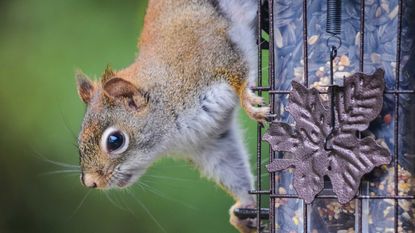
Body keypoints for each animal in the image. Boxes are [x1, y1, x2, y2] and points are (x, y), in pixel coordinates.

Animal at [75, 0, 270, 232]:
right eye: (79, 141)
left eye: (115, 140)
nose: (90, 182)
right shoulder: (207, 140)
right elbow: (229, 167)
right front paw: (245, 208)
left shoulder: (214, 55)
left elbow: (238, 71)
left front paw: (247, 100)